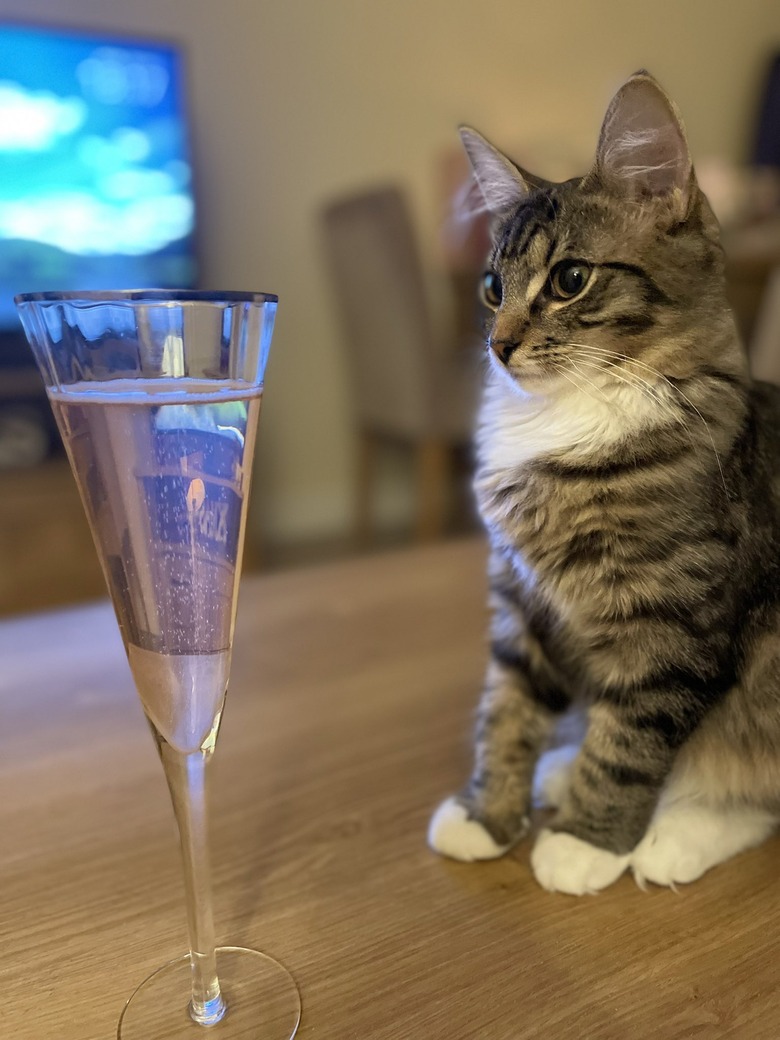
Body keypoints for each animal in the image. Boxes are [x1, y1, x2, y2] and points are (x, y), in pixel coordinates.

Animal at [428, 69, 780, 894]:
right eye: (491, 286)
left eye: (570, 280)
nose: (499, 346)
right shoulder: (522, 604)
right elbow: (507, 711)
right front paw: (488, 812)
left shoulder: (672, 627)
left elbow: (629, 745)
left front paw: (587, 841)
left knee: (746, 789)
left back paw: (670, 838)